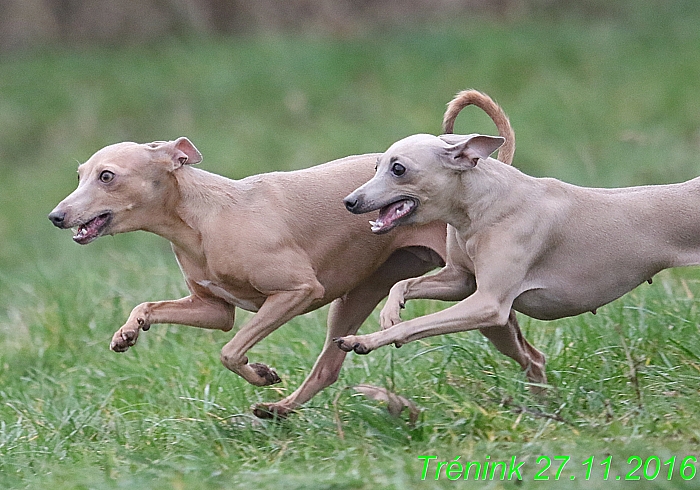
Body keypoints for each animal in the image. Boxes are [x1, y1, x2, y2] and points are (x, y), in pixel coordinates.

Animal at [50, 90, 540, 416]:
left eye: (107, 176)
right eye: (79, 174)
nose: (56, 216)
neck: (205, 218)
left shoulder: (297, 291)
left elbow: (230, 351)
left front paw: (260, 372)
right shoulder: (212, 307)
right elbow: (152, 307)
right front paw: (128, 333)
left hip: (473, 300)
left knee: (530, 355)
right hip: (361, 297)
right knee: (329, 368)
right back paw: (281, 408)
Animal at [336, 89, 696, 372]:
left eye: (398, 169)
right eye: (376, 165)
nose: (349, 202)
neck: (485, 206)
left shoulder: (488, 304)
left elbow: (415, 324)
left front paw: (364, 339)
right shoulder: (461, 281)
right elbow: (403, 283)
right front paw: (389, 311)